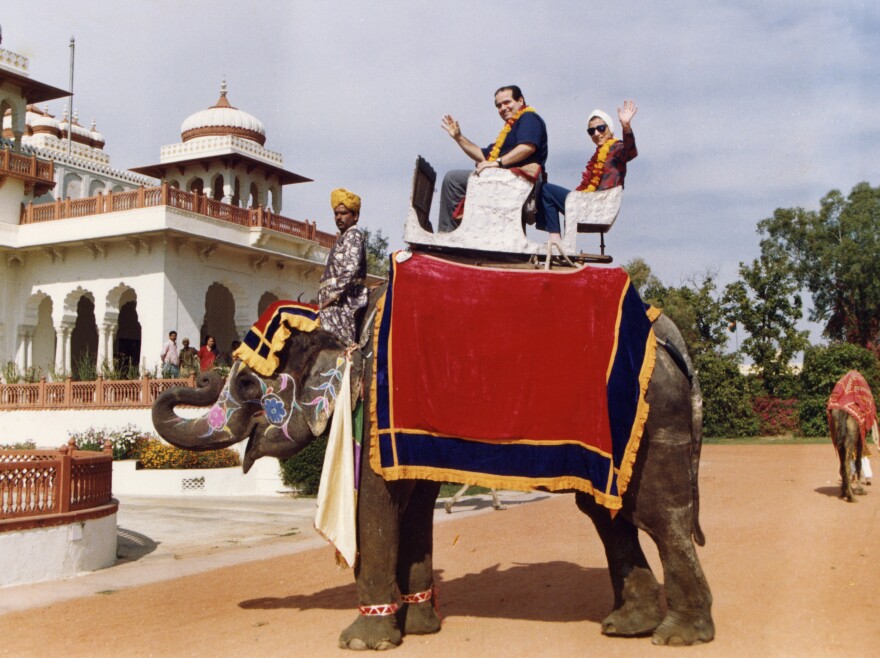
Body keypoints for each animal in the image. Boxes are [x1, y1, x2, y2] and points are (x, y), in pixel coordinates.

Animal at [151, 258, 716, 648]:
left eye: (248, 384)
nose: (197, 373)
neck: (351, 323)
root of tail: (668, 335)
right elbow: (414, 508)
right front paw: (420, 627)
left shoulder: (373, 407)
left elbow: (373, 507)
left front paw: (362, 642)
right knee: (608, 514)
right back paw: (626, 626)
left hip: (653, 417)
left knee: (658, 514)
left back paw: (678, 636)